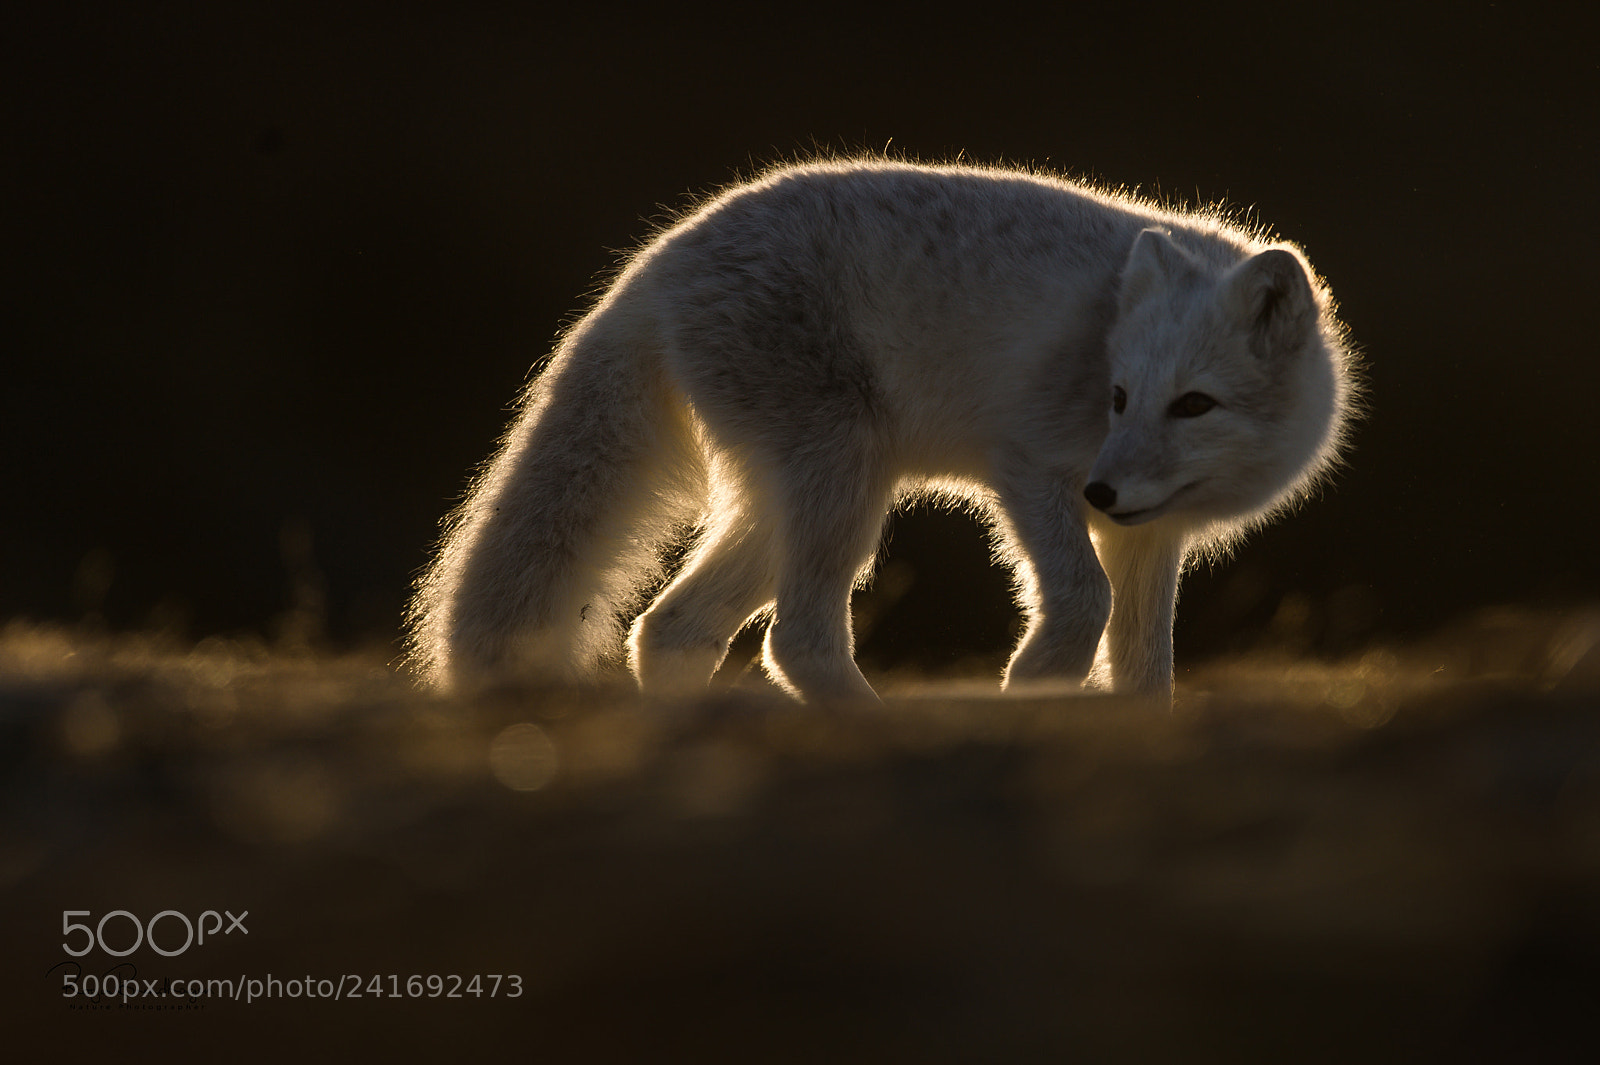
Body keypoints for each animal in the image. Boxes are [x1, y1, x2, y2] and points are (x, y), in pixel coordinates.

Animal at [406, 159, 1358, 703]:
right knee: (793, 637)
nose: (1104, 487)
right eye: (1120, 397)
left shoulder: (1149, 537)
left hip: (794, 505)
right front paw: (1030, 688)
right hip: (845, 491)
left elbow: (1147, 674)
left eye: (1193, 405)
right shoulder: (1029, 470)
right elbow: (1083, 601)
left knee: (672, 628)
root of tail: (658, 258)